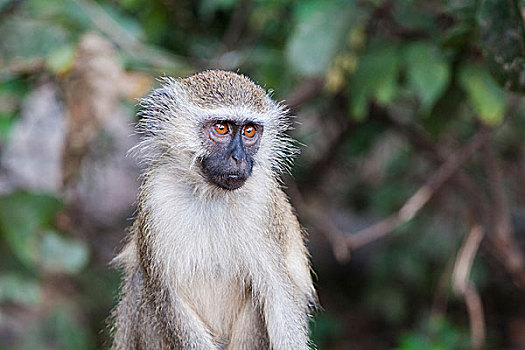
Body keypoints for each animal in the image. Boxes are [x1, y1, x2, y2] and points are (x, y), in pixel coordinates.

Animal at [110, 69, 316, 348]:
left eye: (249, 131)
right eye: (221, 128)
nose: (239, 158)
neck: (211, 194)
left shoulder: (264, 206)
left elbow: (279, 294)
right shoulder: (155, 196)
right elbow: (166, 295)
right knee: (141, 283)